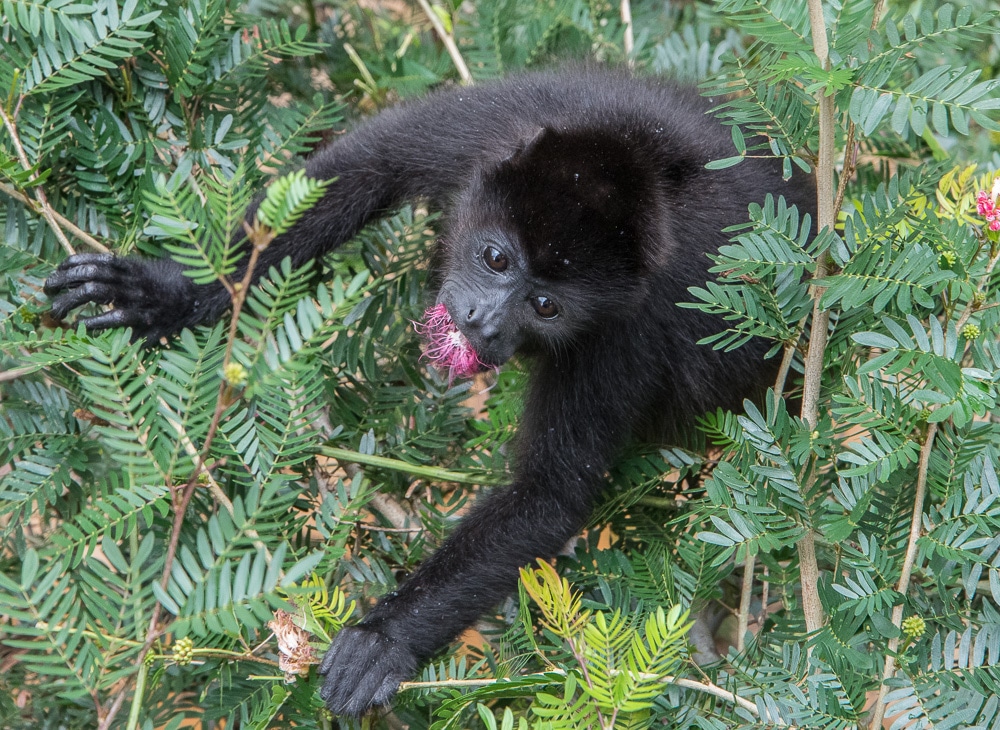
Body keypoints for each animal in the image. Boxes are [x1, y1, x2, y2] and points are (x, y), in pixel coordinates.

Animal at [43, 69, 816, 716]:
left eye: (545, 305)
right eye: (496, 257)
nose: (482, 322)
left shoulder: (624, 329)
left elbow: (549, 492)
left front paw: (384, 639)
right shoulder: (510, 123)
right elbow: (370, 163)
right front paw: (174, 294)